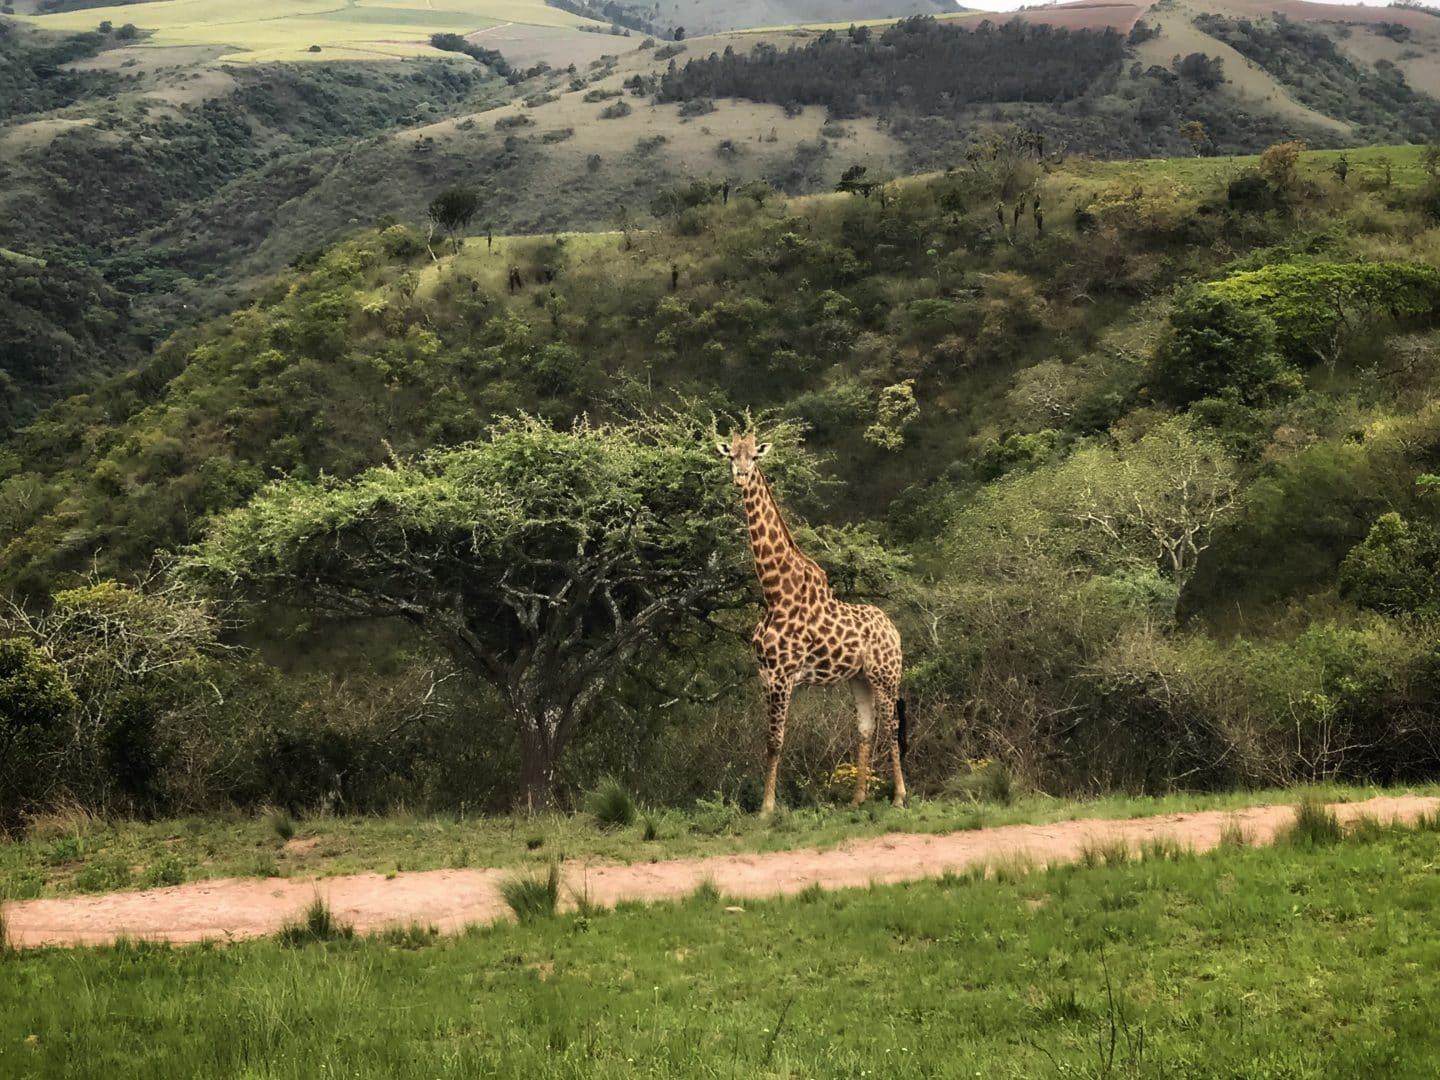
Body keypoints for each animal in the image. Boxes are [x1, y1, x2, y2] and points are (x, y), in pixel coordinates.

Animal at [714, 434, 904, 817]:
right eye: (731, 456)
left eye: (754, 457)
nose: (740, 477)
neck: (774, 592)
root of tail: (893, 629)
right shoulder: (765, 674)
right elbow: (768, 738)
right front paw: (768, 803)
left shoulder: (783, 674)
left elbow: (775, 740)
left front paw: (767, 807)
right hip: (860, 678)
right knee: (866, 727)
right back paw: (858, 799)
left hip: (887, 674)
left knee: (892, 724)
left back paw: (899, 796)